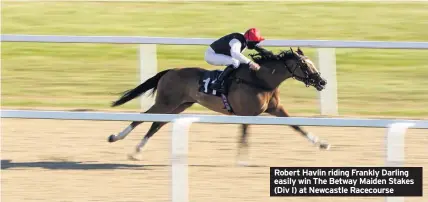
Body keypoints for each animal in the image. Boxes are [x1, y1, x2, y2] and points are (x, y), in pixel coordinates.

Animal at [108, 47, 330, 161]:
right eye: (304, 65)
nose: (322, 82)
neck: (260, 80)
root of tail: (170, 71)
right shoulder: (246, 113)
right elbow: (244, 135)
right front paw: (242, 159)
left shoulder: (275, 109)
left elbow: (296, 126)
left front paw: (321, 143)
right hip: (165, 102)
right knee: (143, 118)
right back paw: (116, 137)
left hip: (180, 105)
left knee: (156, 124)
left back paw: (137, 150)